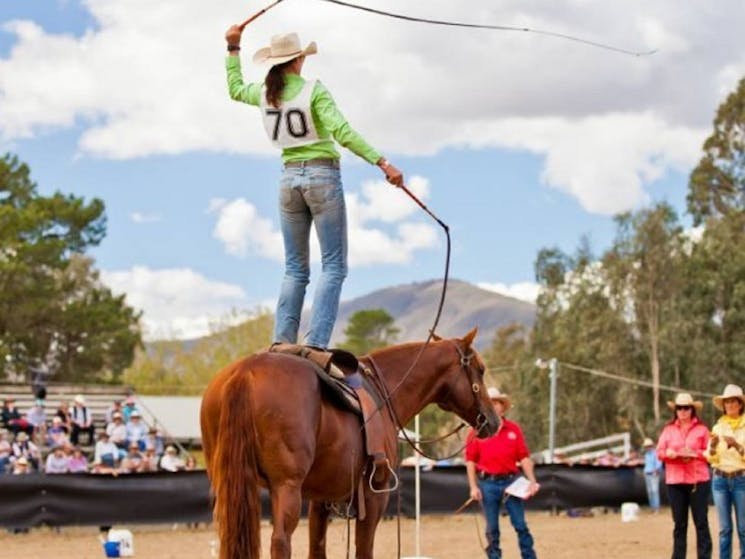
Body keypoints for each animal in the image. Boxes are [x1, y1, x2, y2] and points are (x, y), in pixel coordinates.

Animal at [201, 328, 496, 559]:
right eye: (481, 370)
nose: (493, 421)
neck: (385, 391)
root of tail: (244, 373)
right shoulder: (374, 496)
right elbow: (364, 550)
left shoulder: (321, 499)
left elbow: (317, 549)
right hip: (286, 487)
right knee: (280, 542)